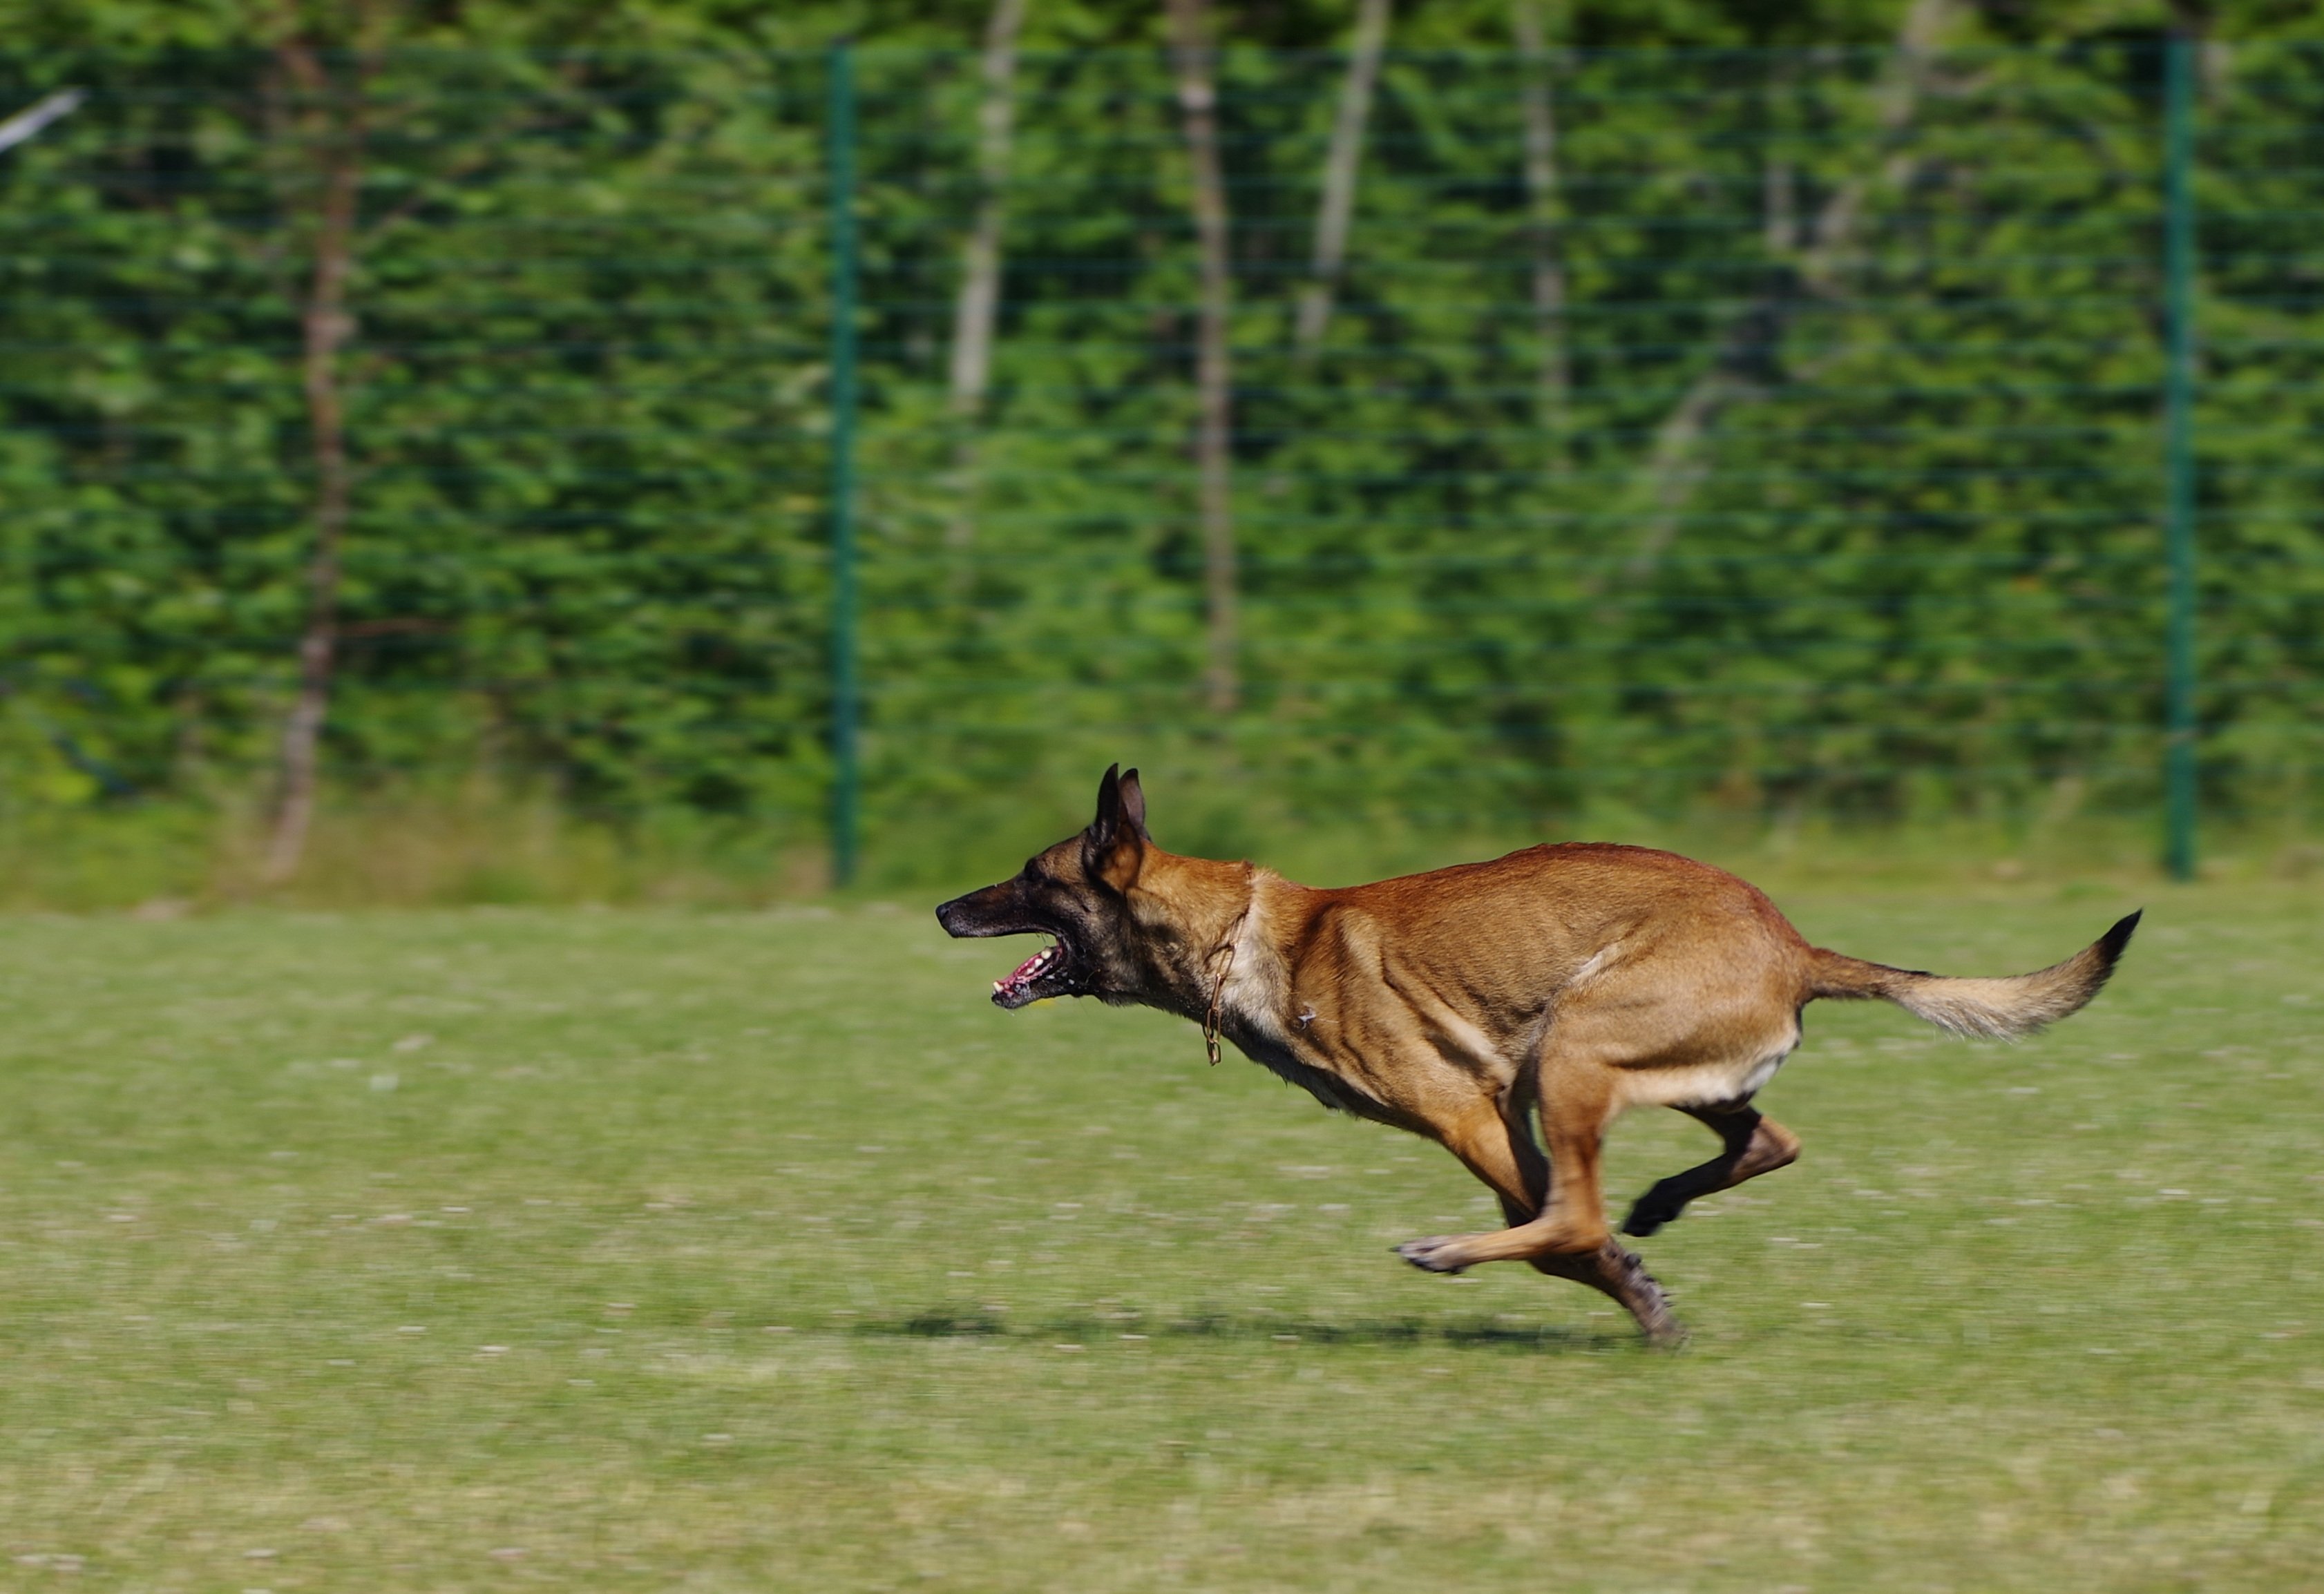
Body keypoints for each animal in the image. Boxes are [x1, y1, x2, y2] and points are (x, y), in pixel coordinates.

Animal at [934, 767, 2128, 1338]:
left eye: (1032, 876)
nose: (945, 907)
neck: (1244, 934)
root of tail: (1795, 947)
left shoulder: (1469, 1114)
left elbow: (1562, 1234)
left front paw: (1633, 1297)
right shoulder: (1505, 1119)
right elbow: (1563, 1225)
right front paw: (1640, 1283)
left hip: (1577, 1049)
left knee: (1586, 1212)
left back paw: (1462, 1252)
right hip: (1647, 1072)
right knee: (1763, 1140)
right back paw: (1660, 1207)